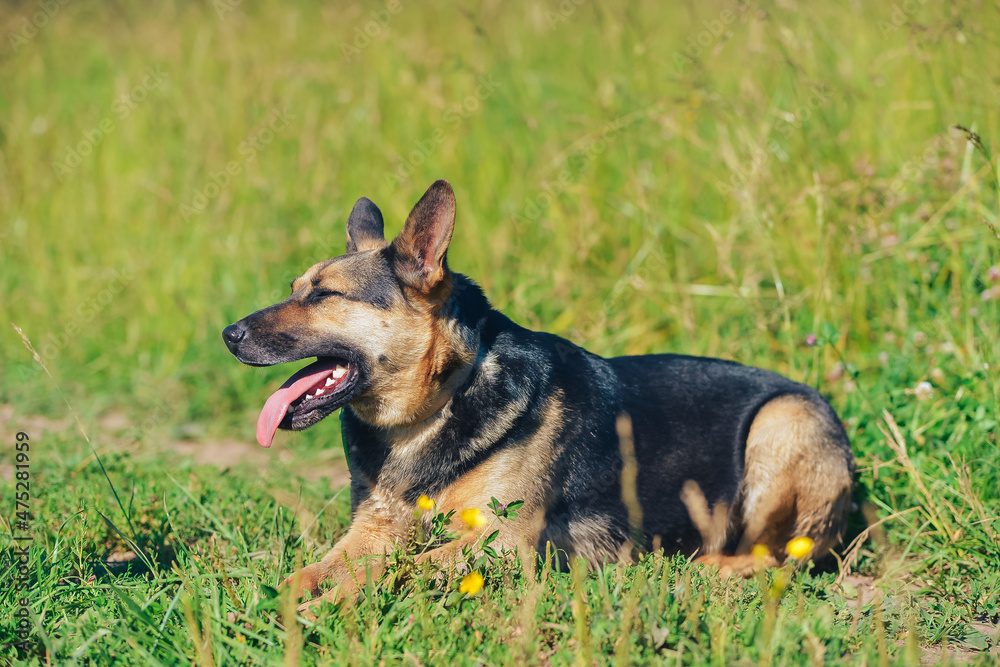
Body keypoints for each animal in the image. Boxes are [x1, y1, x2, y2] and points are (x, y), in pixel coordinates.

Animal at [221, 179, 852, 616]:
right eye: (295, 289)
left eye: (325, 295)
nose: (228, 334)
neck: (436, 409)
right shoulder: (370, 532)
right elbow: (314, 570)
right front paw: (276, 598)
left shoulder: (500, 542)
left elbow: (396, 569)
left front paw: (327, 607)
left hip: (782, 421)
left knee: (776, 558)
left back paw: (697, 568)